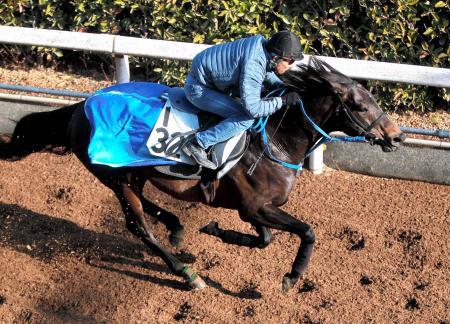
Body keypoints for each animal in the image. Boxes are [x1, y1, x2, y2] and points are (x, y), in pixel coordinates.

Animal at [0, 57, 406, 292]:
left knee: (145, 206)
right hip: (114, 175)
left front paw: (214, 230)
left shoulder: (254, 208)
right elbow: (306, 232)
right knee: (138, 225)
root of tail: (81, 107)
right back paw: (186, 273)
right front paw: (292, 277)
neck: (274, 141)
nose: (397, 136)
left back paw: (177, 227)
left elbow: (264, 240)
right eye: (359, 105)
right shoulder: (253, 207)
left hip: (131, 174)